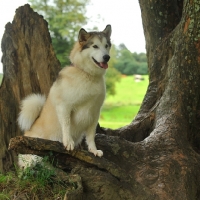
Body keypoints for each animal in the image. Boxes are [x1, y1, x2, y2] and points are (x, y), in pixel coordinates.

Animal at [17, 24, 111, 166]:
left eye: (106, 45)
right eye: (95, 46)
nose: (107, 57)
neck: (87, 74)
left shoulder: (94, 112)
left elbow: (91, 135)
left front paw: (93, 150)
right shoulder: (64, 106)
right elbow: (66, 126)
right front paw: (68, 142)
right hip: (33, 155)